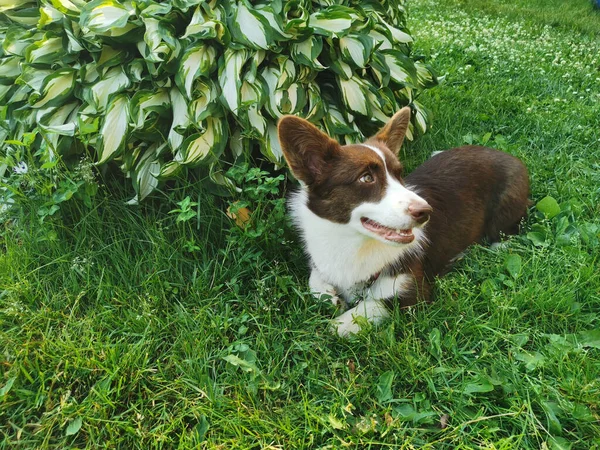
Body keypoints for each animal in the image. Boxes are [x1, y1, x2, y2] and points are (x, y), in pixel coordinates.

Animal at [278, 107, 528, 336]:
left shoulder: (412, 291)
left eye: (399, 175)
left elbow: (367, 308)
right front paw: (330, 296)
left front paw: (338, 323)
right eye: (366, 178)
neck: (351, 243)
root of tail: (508, 156)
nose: (426, 212)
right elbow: (315, 278)